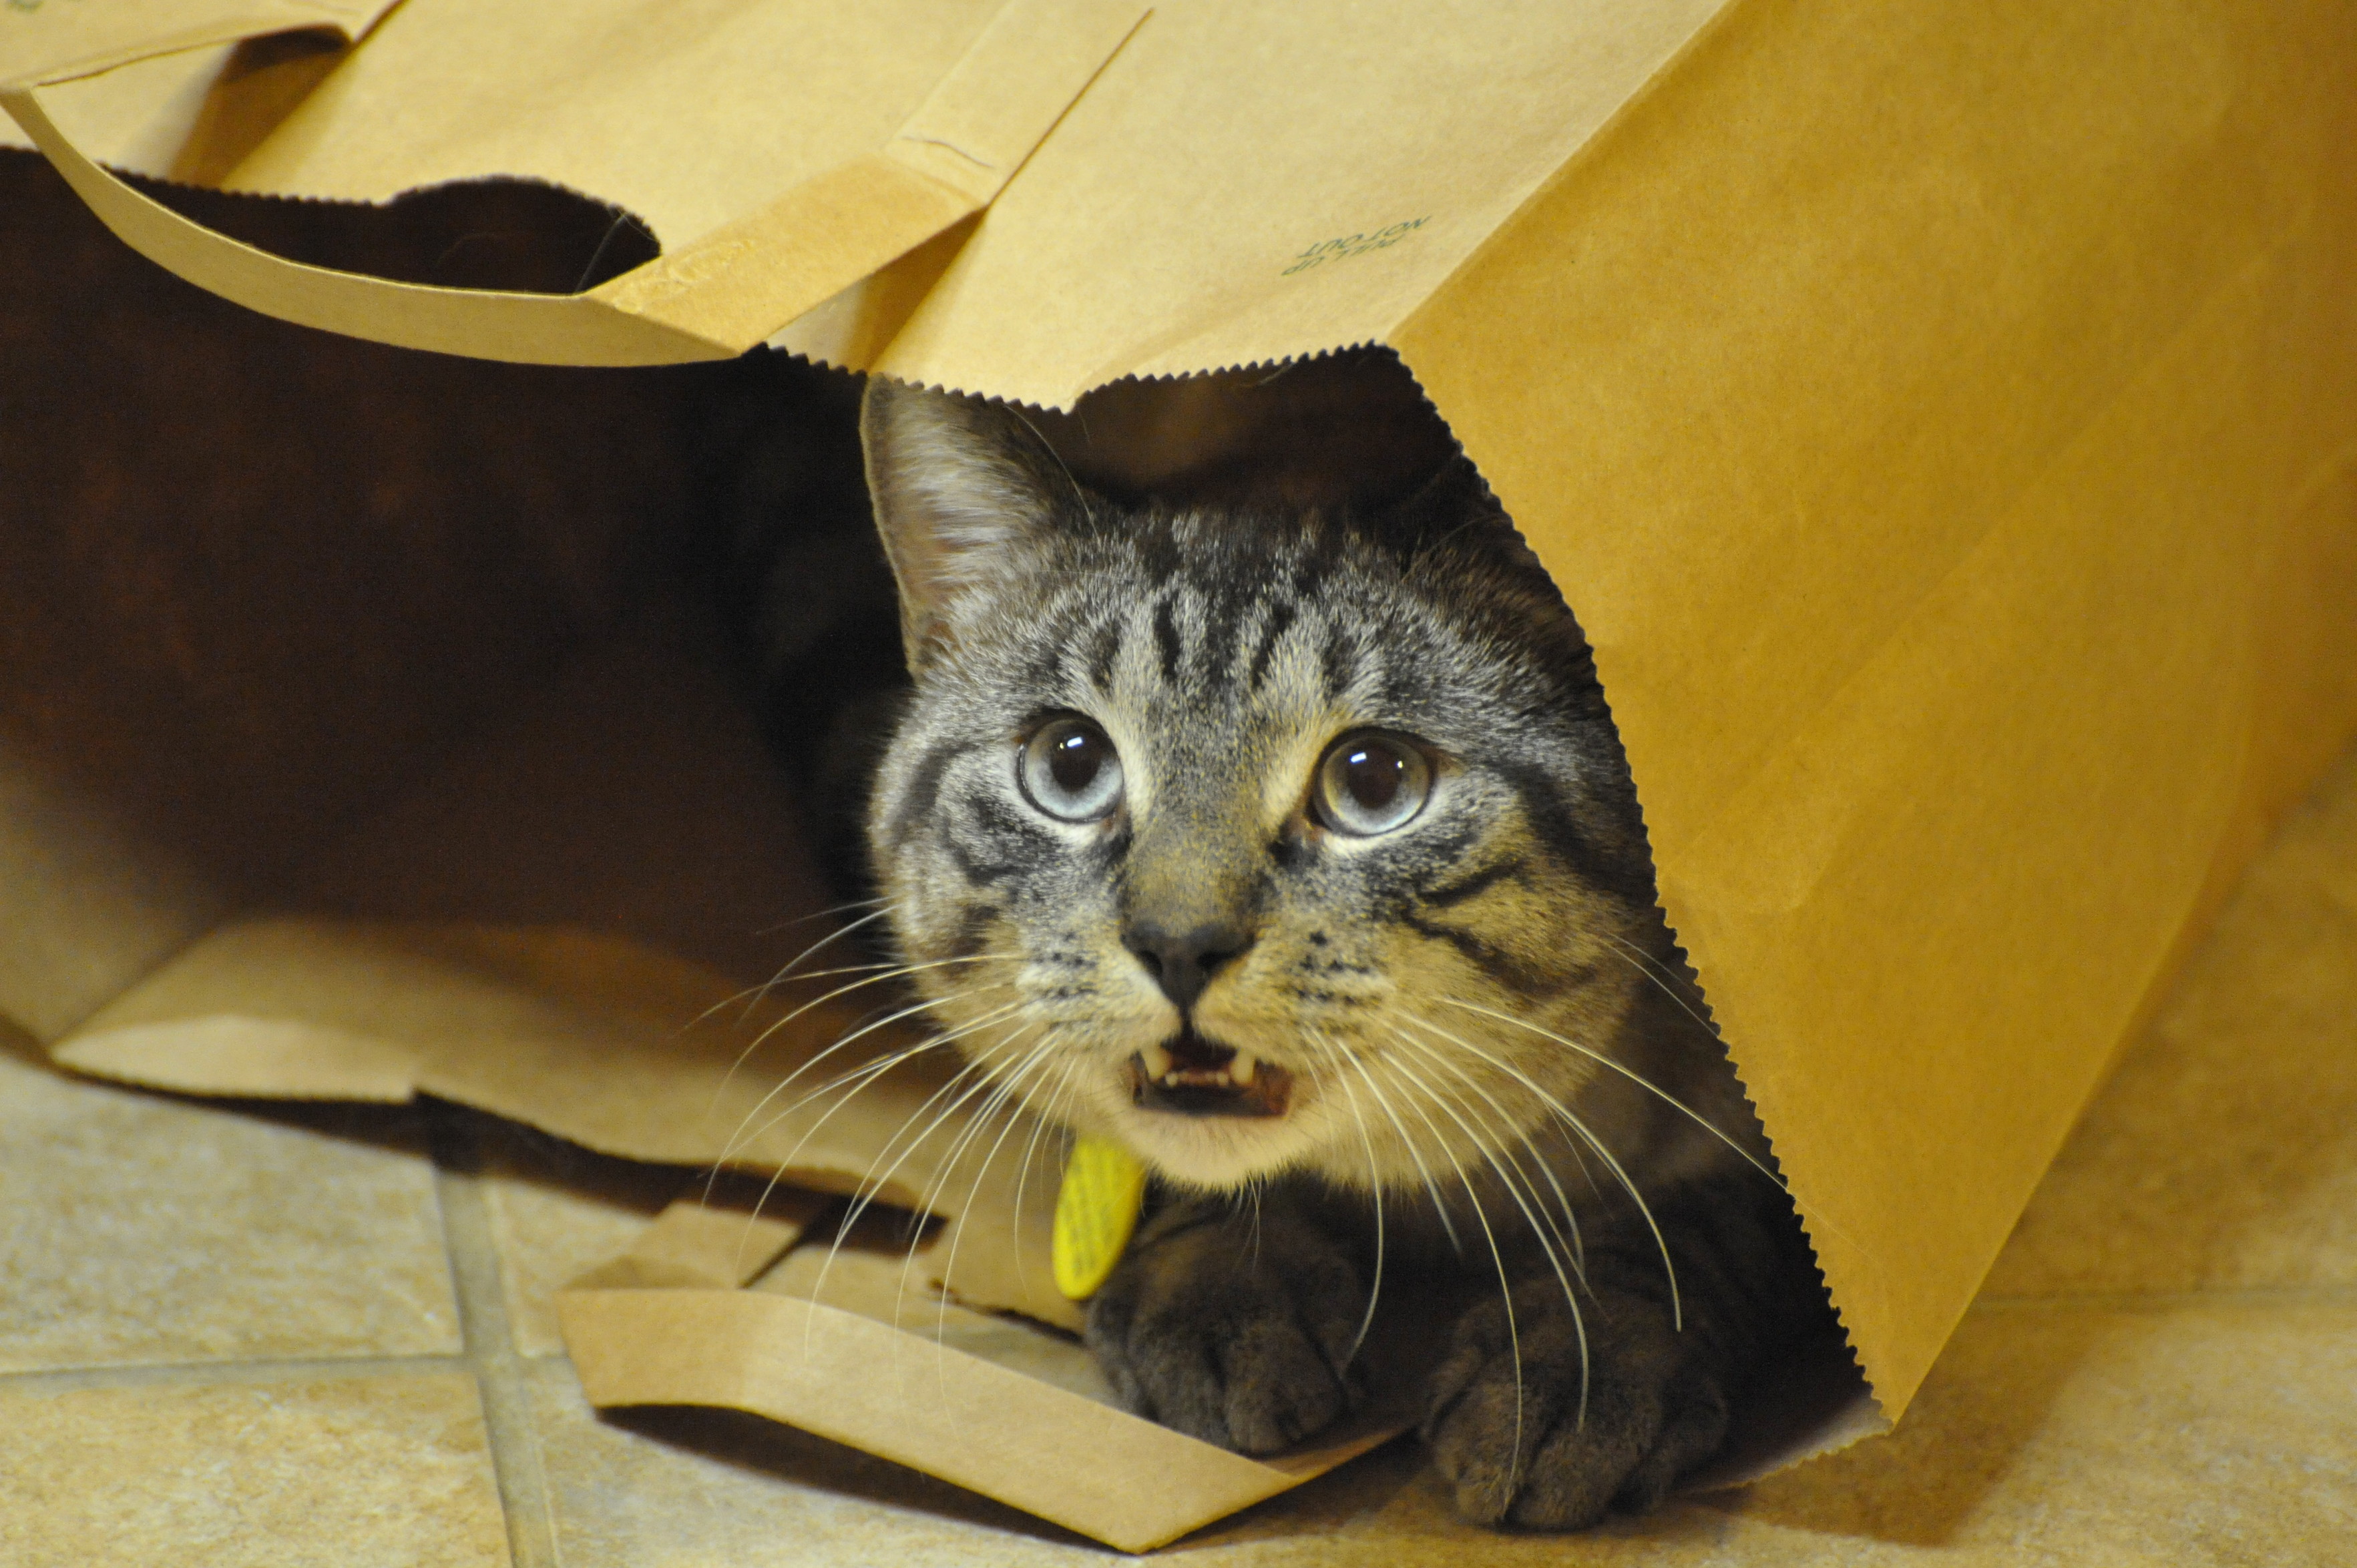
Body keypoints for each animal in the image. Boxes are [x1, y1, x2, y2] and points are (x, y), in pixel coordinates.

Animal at [768, 360, 1819, 1518]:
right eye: (1070, 764)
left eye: (1373, 782)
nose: (1178, 945)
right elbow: (1178, 1173)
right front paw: (1223, 1298)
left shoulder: (1771, 1127)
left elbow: (1688, 1228)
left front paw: (1575, 1371)